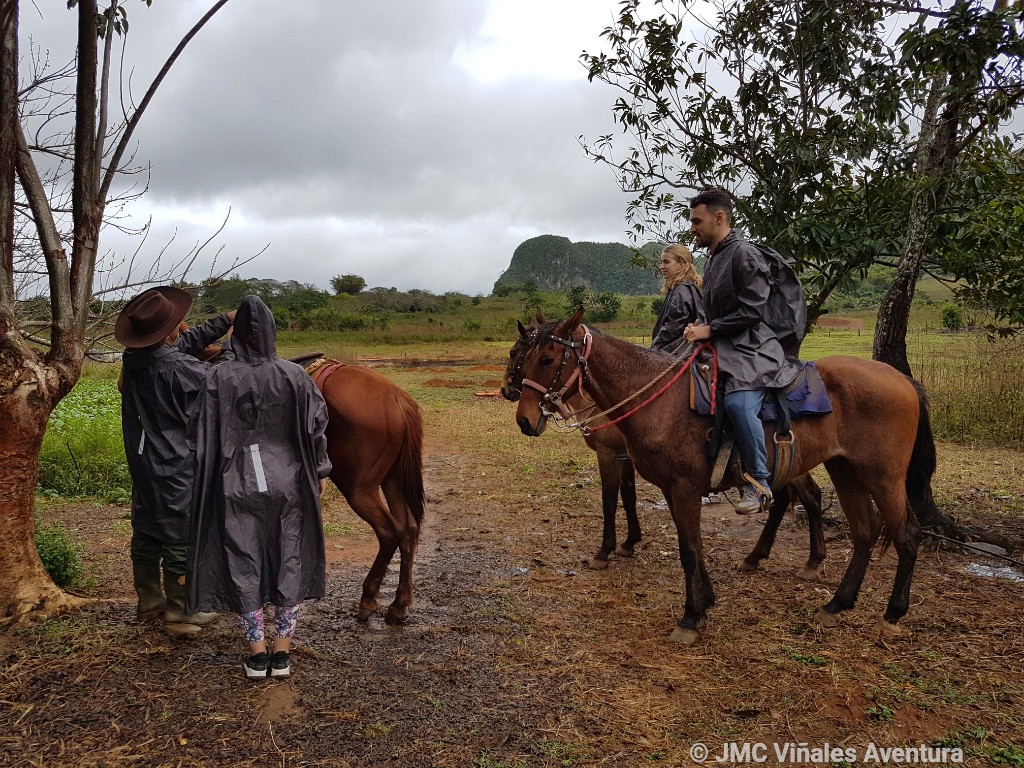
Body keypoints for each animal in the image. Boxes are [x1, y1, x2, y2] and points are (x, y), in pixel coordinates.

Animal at [503, 316, 828, 579]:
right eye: (522, 354)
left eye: (540, 358)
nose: (522, 416)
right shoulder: (627, 457)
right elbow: (629, 497)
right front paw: (629, 542)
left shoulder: (609, 454)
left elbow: (610, 500)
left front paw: (604, 551)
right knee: (793, 497)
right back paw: (769, 558)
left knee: (805, 496)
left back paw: (804, 559)